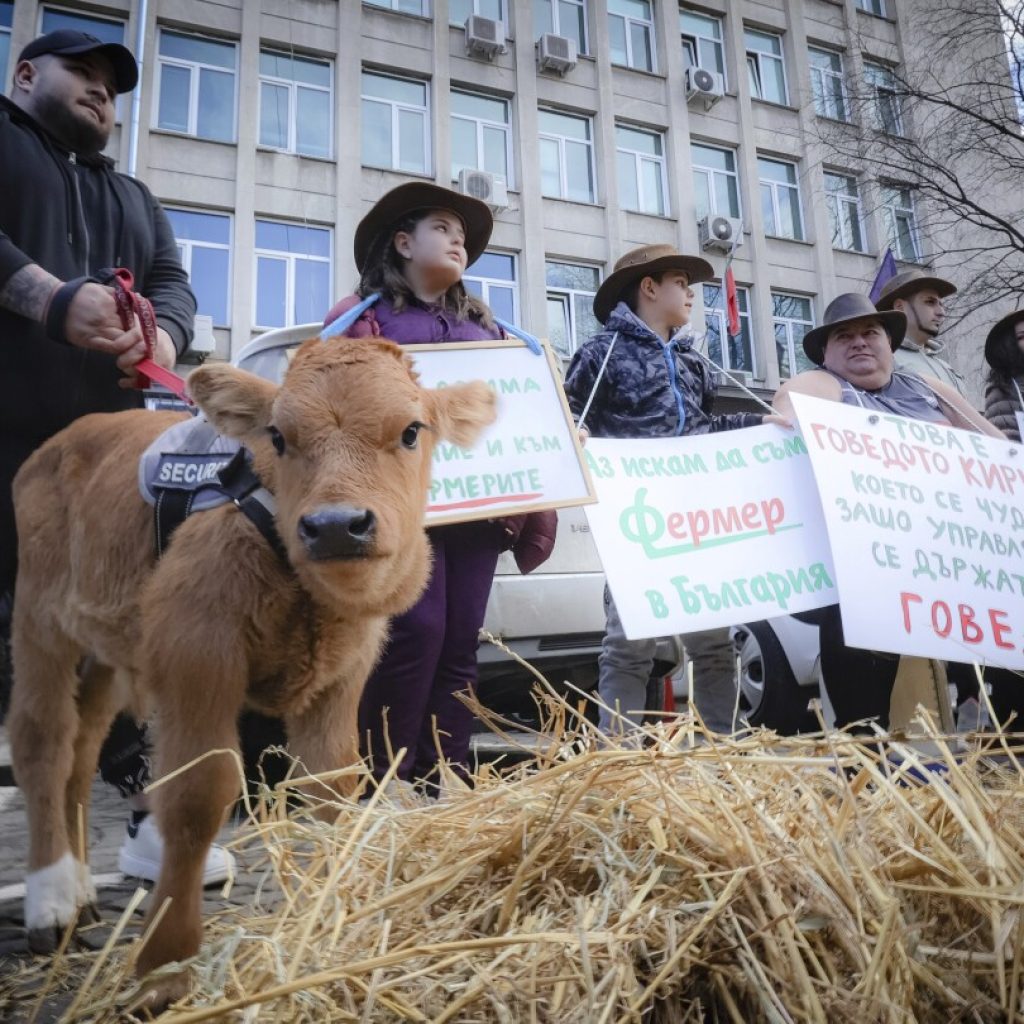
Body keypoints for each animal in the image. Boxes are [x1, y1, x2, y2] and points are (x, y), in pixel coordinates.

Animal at [8, 337, 495, 1007]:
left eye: (411, 431)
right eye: (279, 437)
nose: (337, 525)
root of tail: (65, 439)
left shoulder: (343, 675)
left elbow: (332, 785)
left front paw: (327, 920)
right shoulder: (196, 653)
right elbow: (197, 794)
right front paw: (164, 967)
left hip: (104, 650)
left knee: (81, 758)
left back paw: (80, 893)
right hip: (40, 620)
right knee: (43, 743)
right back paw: (51, 903)